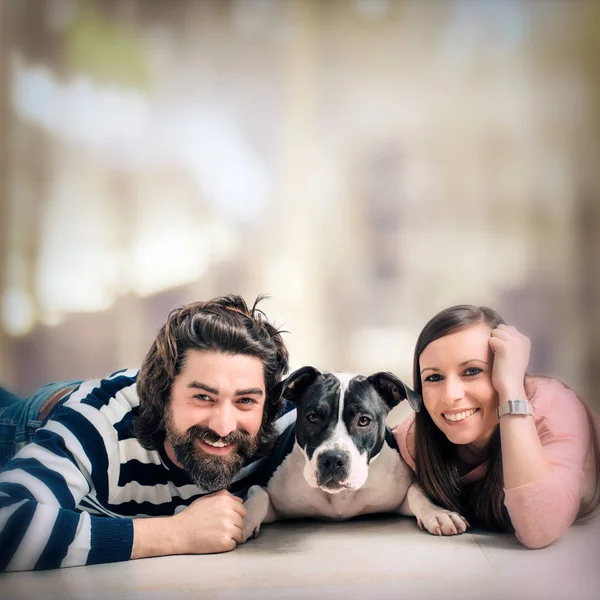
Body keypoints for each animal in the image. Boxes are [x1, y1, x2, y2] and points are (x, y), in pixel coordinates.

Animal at [241, 366, 466, 540]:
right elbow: (258, 493)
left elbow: (416, 491)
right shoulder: (270, 495)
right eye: (312, 417)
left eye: (364, 420)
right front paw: (244, 518)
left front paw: (438, 513)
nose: (333, 459)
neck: (341, 496)